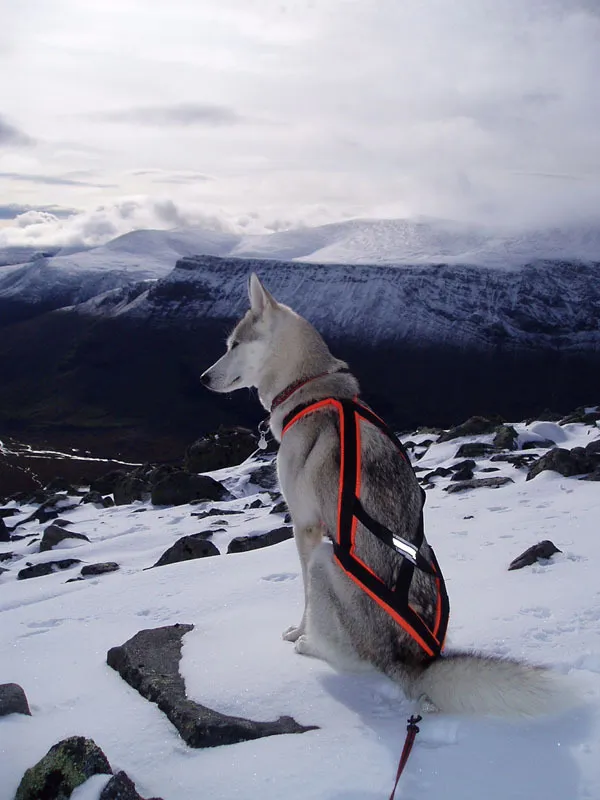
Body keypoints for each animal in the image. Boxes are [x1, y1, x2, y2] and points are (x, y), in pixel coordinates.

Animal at [201, 273, 573, 717]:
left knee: (353, 658)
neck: (307, 388)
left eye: (234, 345)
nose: (202, 378)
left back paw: (311, 646)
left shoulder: (306, 527)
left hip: (327, 559)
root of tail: (409, 659)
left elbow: (303, 598)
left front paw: (297, 632)